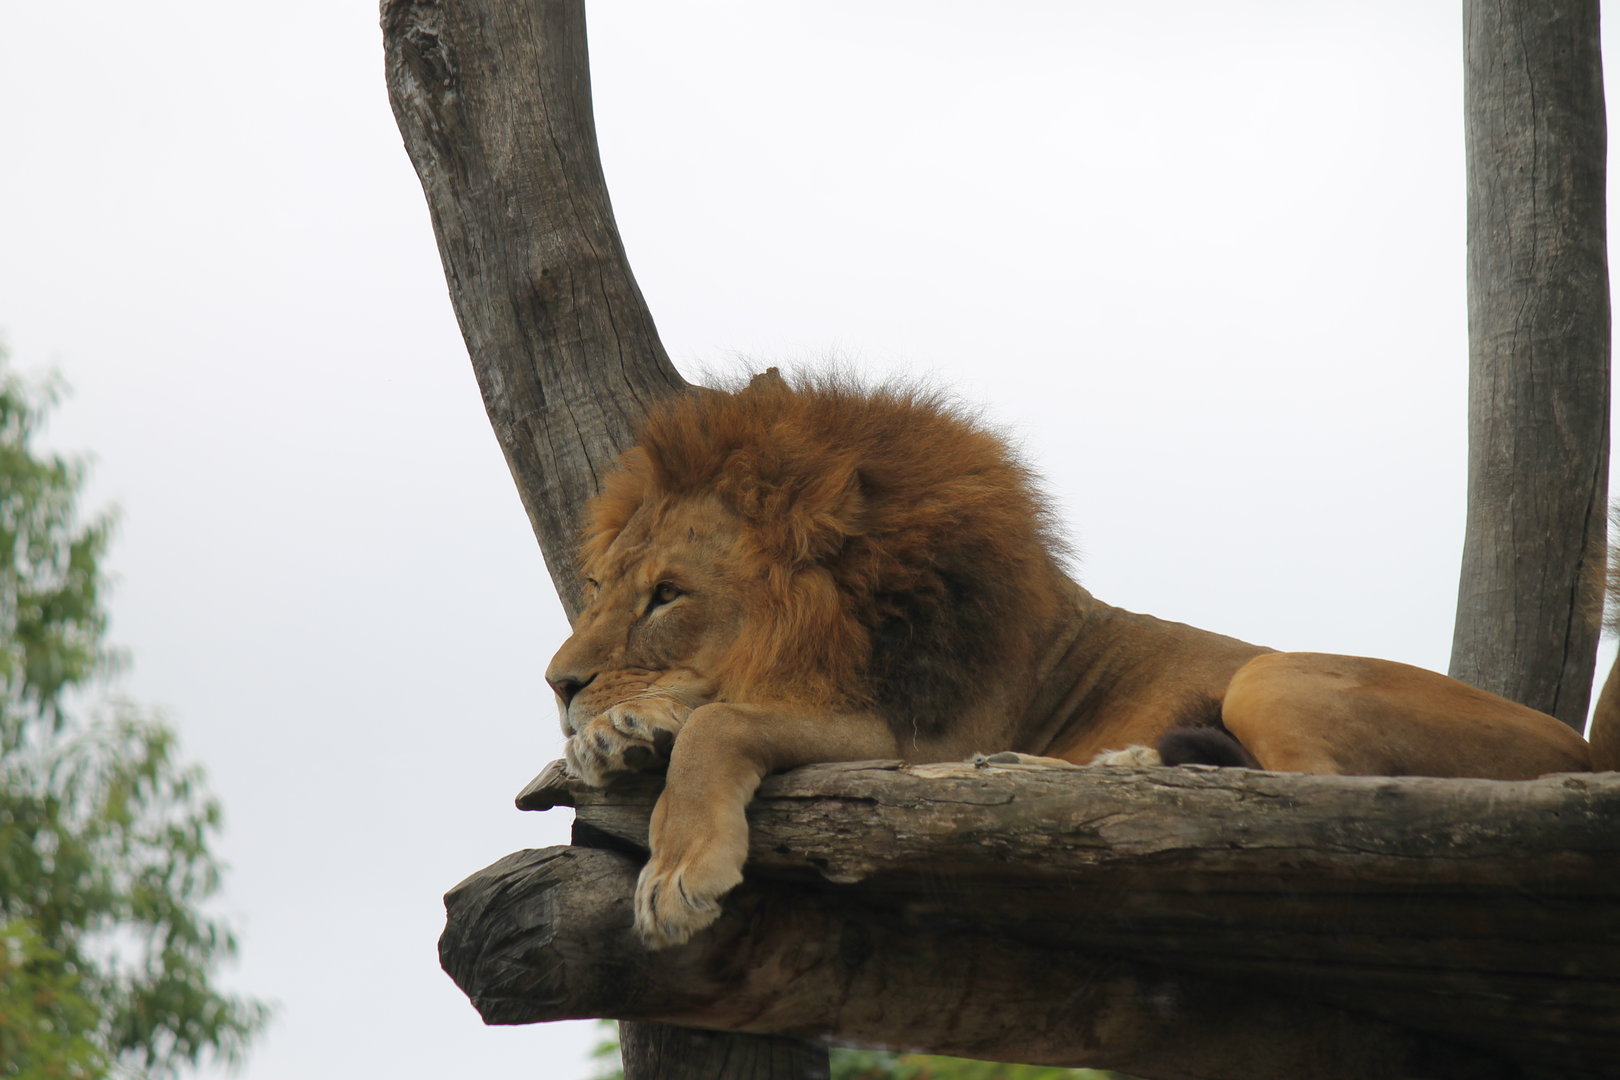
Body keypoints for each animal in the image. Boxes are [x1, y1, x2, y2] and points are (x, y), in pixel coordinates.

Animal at [545, 371, 1604, 949]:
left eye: (668, 595)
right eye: (599, 585)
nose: (558, 683)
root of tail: (1588, 752)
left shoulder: (908, 744)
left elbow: (723, 720)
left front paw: (676, 872)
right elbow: (700, 713)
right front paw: (619, 736)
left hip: (1274, 676)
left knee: (1318, 794)